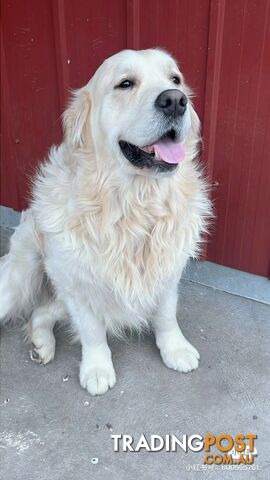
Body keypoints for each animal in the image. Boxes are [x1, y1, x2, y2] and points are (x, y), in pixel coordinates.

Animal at [0, 48, 211, 396]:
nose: (175, 101)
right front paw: (97, 369)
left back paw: (42, 344)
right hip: (20, 278)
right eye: (125, 84)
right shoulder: (76, 286)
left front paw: (175, 349)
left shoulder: (168, 273)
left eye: (175, 79)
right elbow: (92, 331)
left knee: (40, 312)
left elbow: (166, 315)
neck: (133, 205)